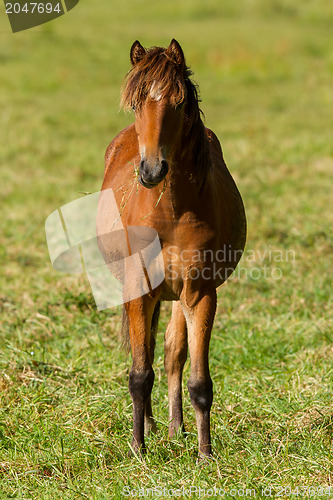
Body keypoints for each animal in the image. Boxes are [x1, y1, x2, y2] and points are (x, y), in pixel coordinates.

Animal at [97, 39, 245, 460]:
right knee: (148, 351)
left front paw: (205, 453)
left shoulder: (199, 294)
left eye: (178, 103)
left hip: (178, 297)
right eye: (136, 104)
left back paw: (177, 428)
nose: (151, 170)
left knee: (171, 353)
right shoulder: (138, 291)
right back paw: (150, 427)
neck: (171, 214)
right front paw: (137, 448)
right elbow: (139, 372)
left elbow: (198, 380)